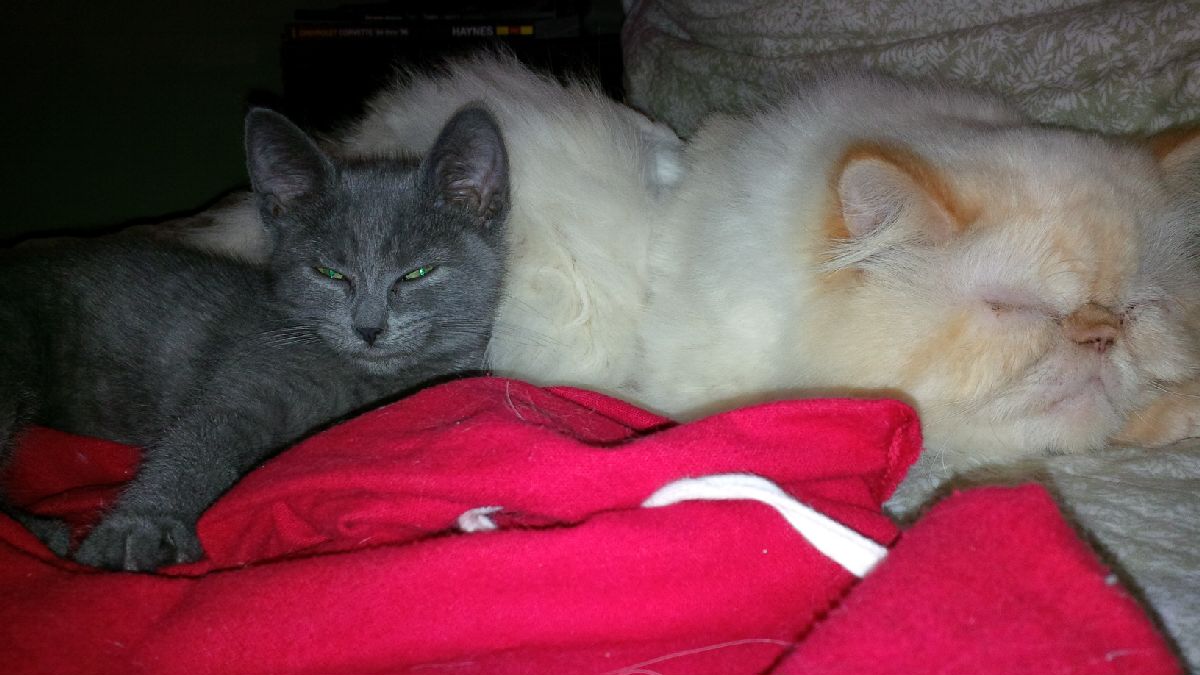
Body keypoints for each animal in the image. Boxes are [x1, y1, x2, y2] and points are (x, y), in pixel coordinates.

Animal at [0, 104, 510, 571]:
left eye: (416, 273)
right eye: (329, 273)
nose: (368, 327)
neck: (364, 381)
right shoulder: (245, 377)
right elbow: (199, 438)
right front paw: (137, 529)